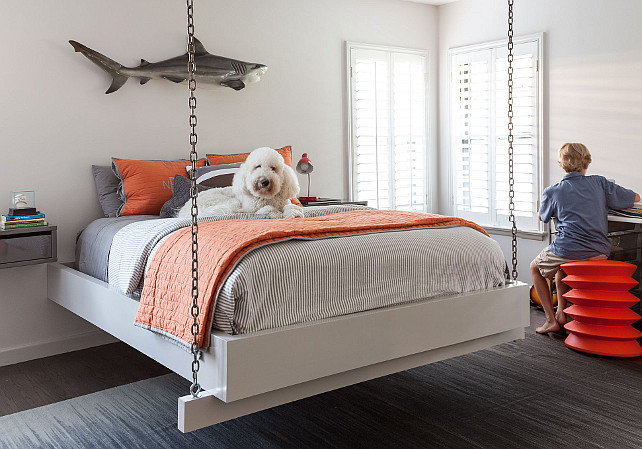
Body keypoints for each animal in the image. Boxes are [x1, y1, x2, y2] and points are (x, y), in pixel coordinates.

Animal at [176, 147, 304, 219]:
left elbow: (292, 207)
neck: (266, 197)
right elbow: (268, 209)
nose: (264, 181)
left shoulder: (285, 202)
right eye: (258, 166)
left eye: (273, 168)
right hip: (228, 202)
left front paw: (294, 214)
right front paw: (276, 214)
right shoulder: (252, 209)